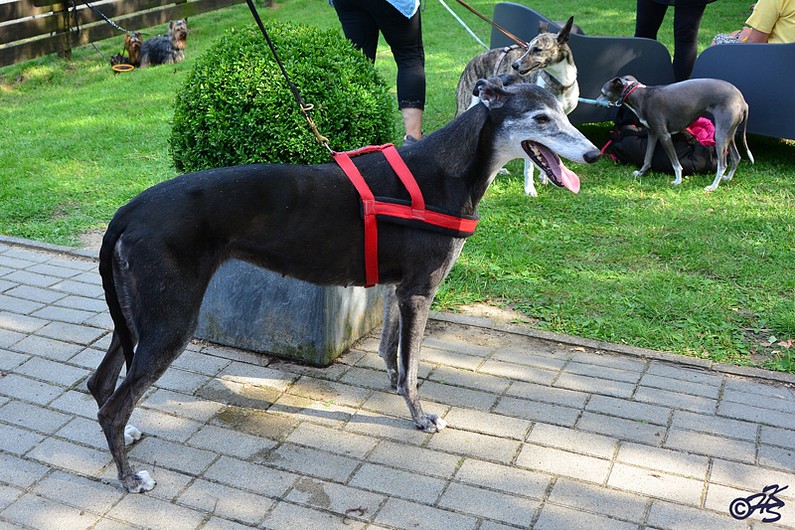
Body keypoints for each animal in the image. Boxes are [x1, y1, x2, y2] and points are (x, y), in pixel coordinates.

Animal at [87, 77, 601, 493]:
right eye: (540, 118)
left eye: (563, 112)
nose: (595, 154)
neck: (447, 168)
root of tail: (128, 212)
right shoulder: (421, 290)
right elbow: (413, 366)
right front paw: (420, 417)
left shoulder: (398, 289)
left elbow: (393, 353)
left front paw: (395, 388)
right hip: (170, 321)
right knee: (113, 405)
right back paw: (129, 477)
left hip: (137, 317)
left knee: (101, 384)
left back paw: (126, 437)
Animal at [455, 17, 579, 197]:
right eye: (527, 48)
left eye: (538, 49)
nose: (515, 65)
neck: (560, 83)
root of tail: (474, 59)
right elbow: (530, 163)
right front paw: (529, 188)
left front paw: (546, 176)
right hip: (466, 106)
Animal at [597, 75, 753, 191]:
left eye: (603, 92)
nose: (597, 102)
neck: (642, 96)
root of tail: (743, 101)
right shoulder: (653, 134)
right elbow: (647, 158)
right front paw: (641, 173)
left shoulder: (664, 136)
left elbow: (676, 164)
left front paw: (678, 180)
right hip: (729, 134)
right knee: (736, 157)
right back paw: (728, 178)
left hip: (720, 135)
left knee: (723, 164)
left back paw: (713, 186)